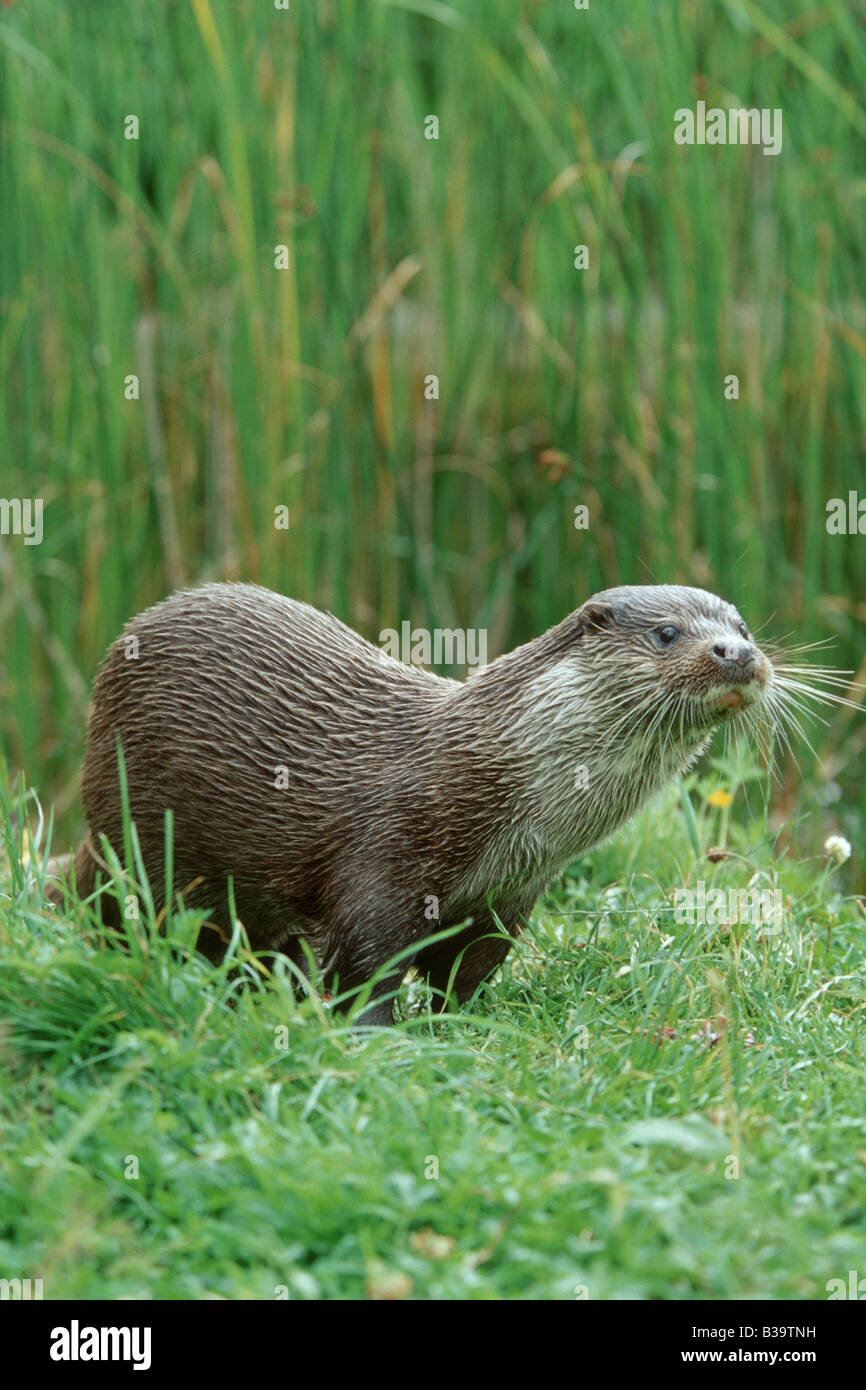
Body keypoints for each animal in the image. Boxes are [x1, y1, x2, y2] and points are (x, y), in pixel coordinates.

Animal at [48, 581, 778, 1028]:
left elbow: (467, 974)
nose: (737, 653)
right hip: (135, 835)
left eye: (743, 626)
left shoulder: (506, 899)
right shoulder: (384, 861)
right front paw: (375, 1038)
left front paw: (462, 1026)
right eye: (667, 633)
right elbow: (367, 966)